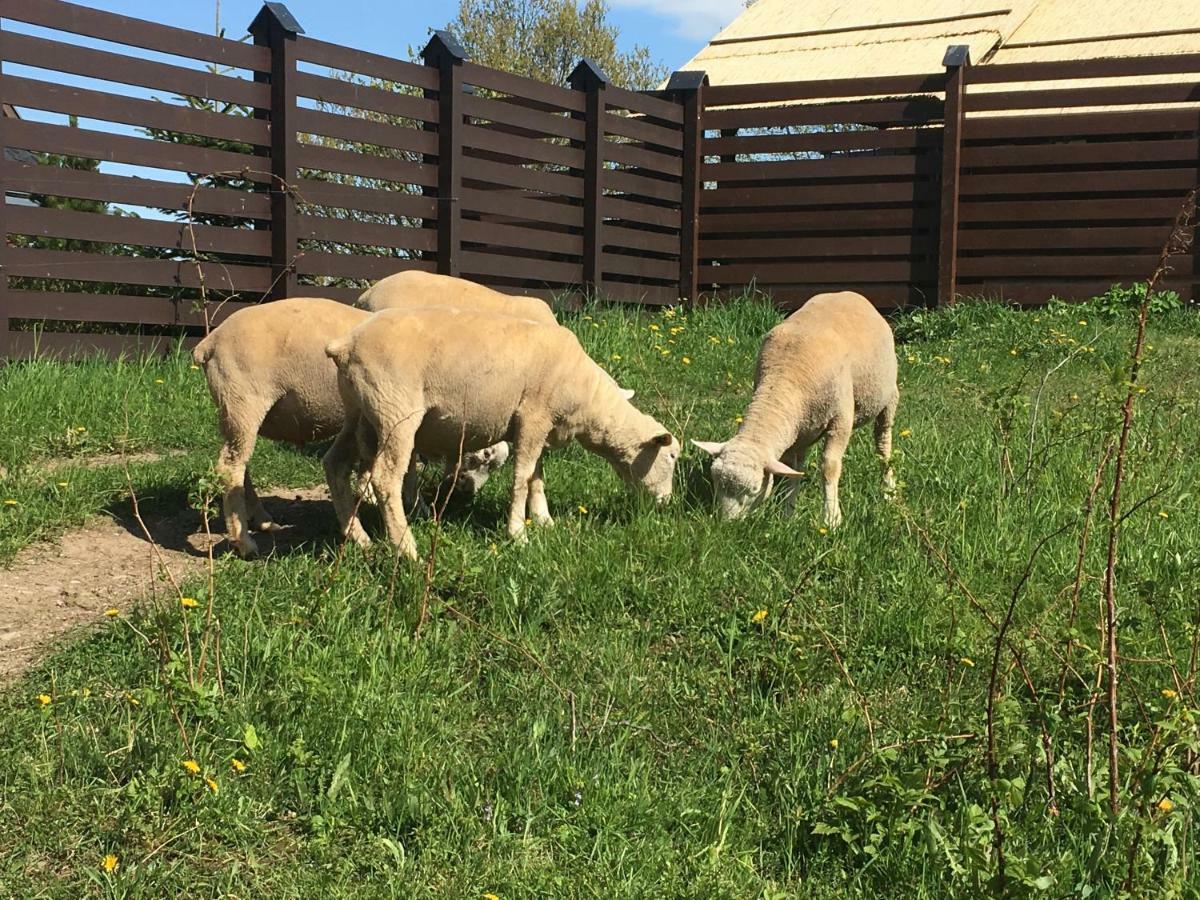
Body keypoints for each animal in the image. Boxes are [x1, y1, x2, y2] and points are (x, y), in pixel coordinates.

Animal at [324, 312, 681, 564]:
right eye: (673, 456)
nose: (666, 503)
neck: (588, 401)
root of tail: (344, 345)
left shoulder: (540, 428)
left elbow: (537, 478)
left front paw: (544, 521)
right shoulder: (533, 417)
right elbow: (522, 478)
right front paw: (518, 534)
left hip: (359, 412)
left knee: (335, 464)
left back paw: (358, 537)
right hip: (394, 411)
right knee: (385, 478)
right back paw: (406, 549)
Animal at [691, 289, 897, 528]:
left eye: (754, 489)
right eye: (715, 481)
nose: (727, 525)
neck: (785, 376)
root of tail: (848, 293)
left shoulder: (841, 419)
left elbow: (829, 466)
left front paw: (831, 519)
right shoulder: (795, 431)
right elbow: (793, 471)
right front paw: (787, 515)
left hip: (889, 397)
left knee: (883, 444)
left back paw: (888, 490)